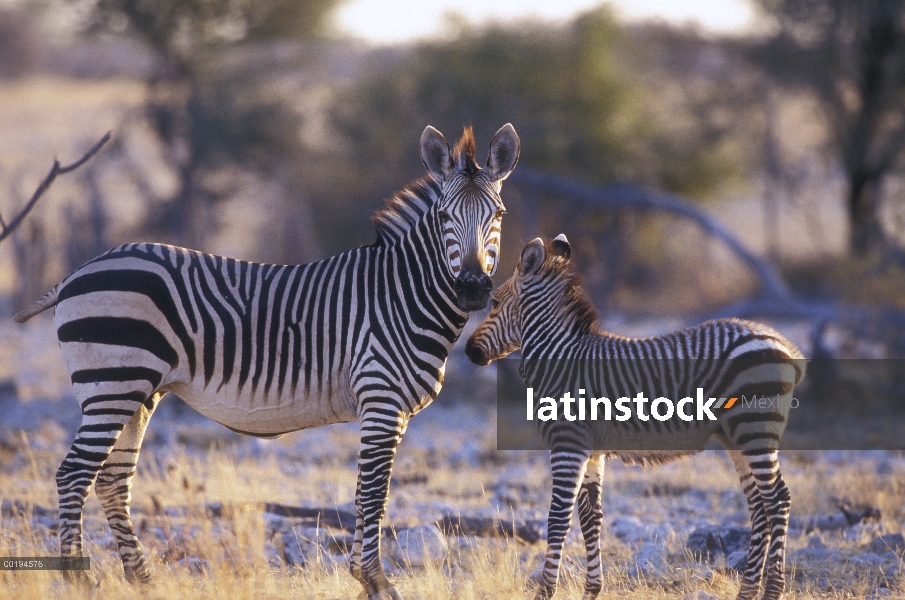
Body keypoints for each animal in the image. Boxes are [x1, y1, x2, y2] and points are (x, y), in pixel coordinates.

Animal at [14, 123, 520, 600]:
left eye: (498, 215)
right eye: (443, 217)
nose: (472, 288)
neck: (401, 294)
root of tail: (77, 273)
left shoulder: (383, 410)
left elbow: (365, 494)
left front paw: (363, 578)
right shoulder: (381, 401)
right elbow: (374, 493)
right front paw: (377, 581)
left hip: (136, 392)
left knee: (112, 480)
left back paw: (143, 579)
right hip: (112, 385)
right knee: (74, 474)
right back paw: (80, 581)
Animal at [466, 236, 804, 600]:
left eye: (495, 303)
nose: (470, 352)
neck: (561, 359)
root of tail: (780, 342)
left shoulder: (567, 443)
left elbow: (558, 519)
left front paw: (545, 592)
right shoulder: (592, 450)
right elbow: (591, 518)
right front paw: (592, 591)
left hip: (754, 428)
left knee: (777, 501)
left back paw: (771, 591)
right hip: (737, 435)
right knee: (759, 506)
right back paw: (747, 590)